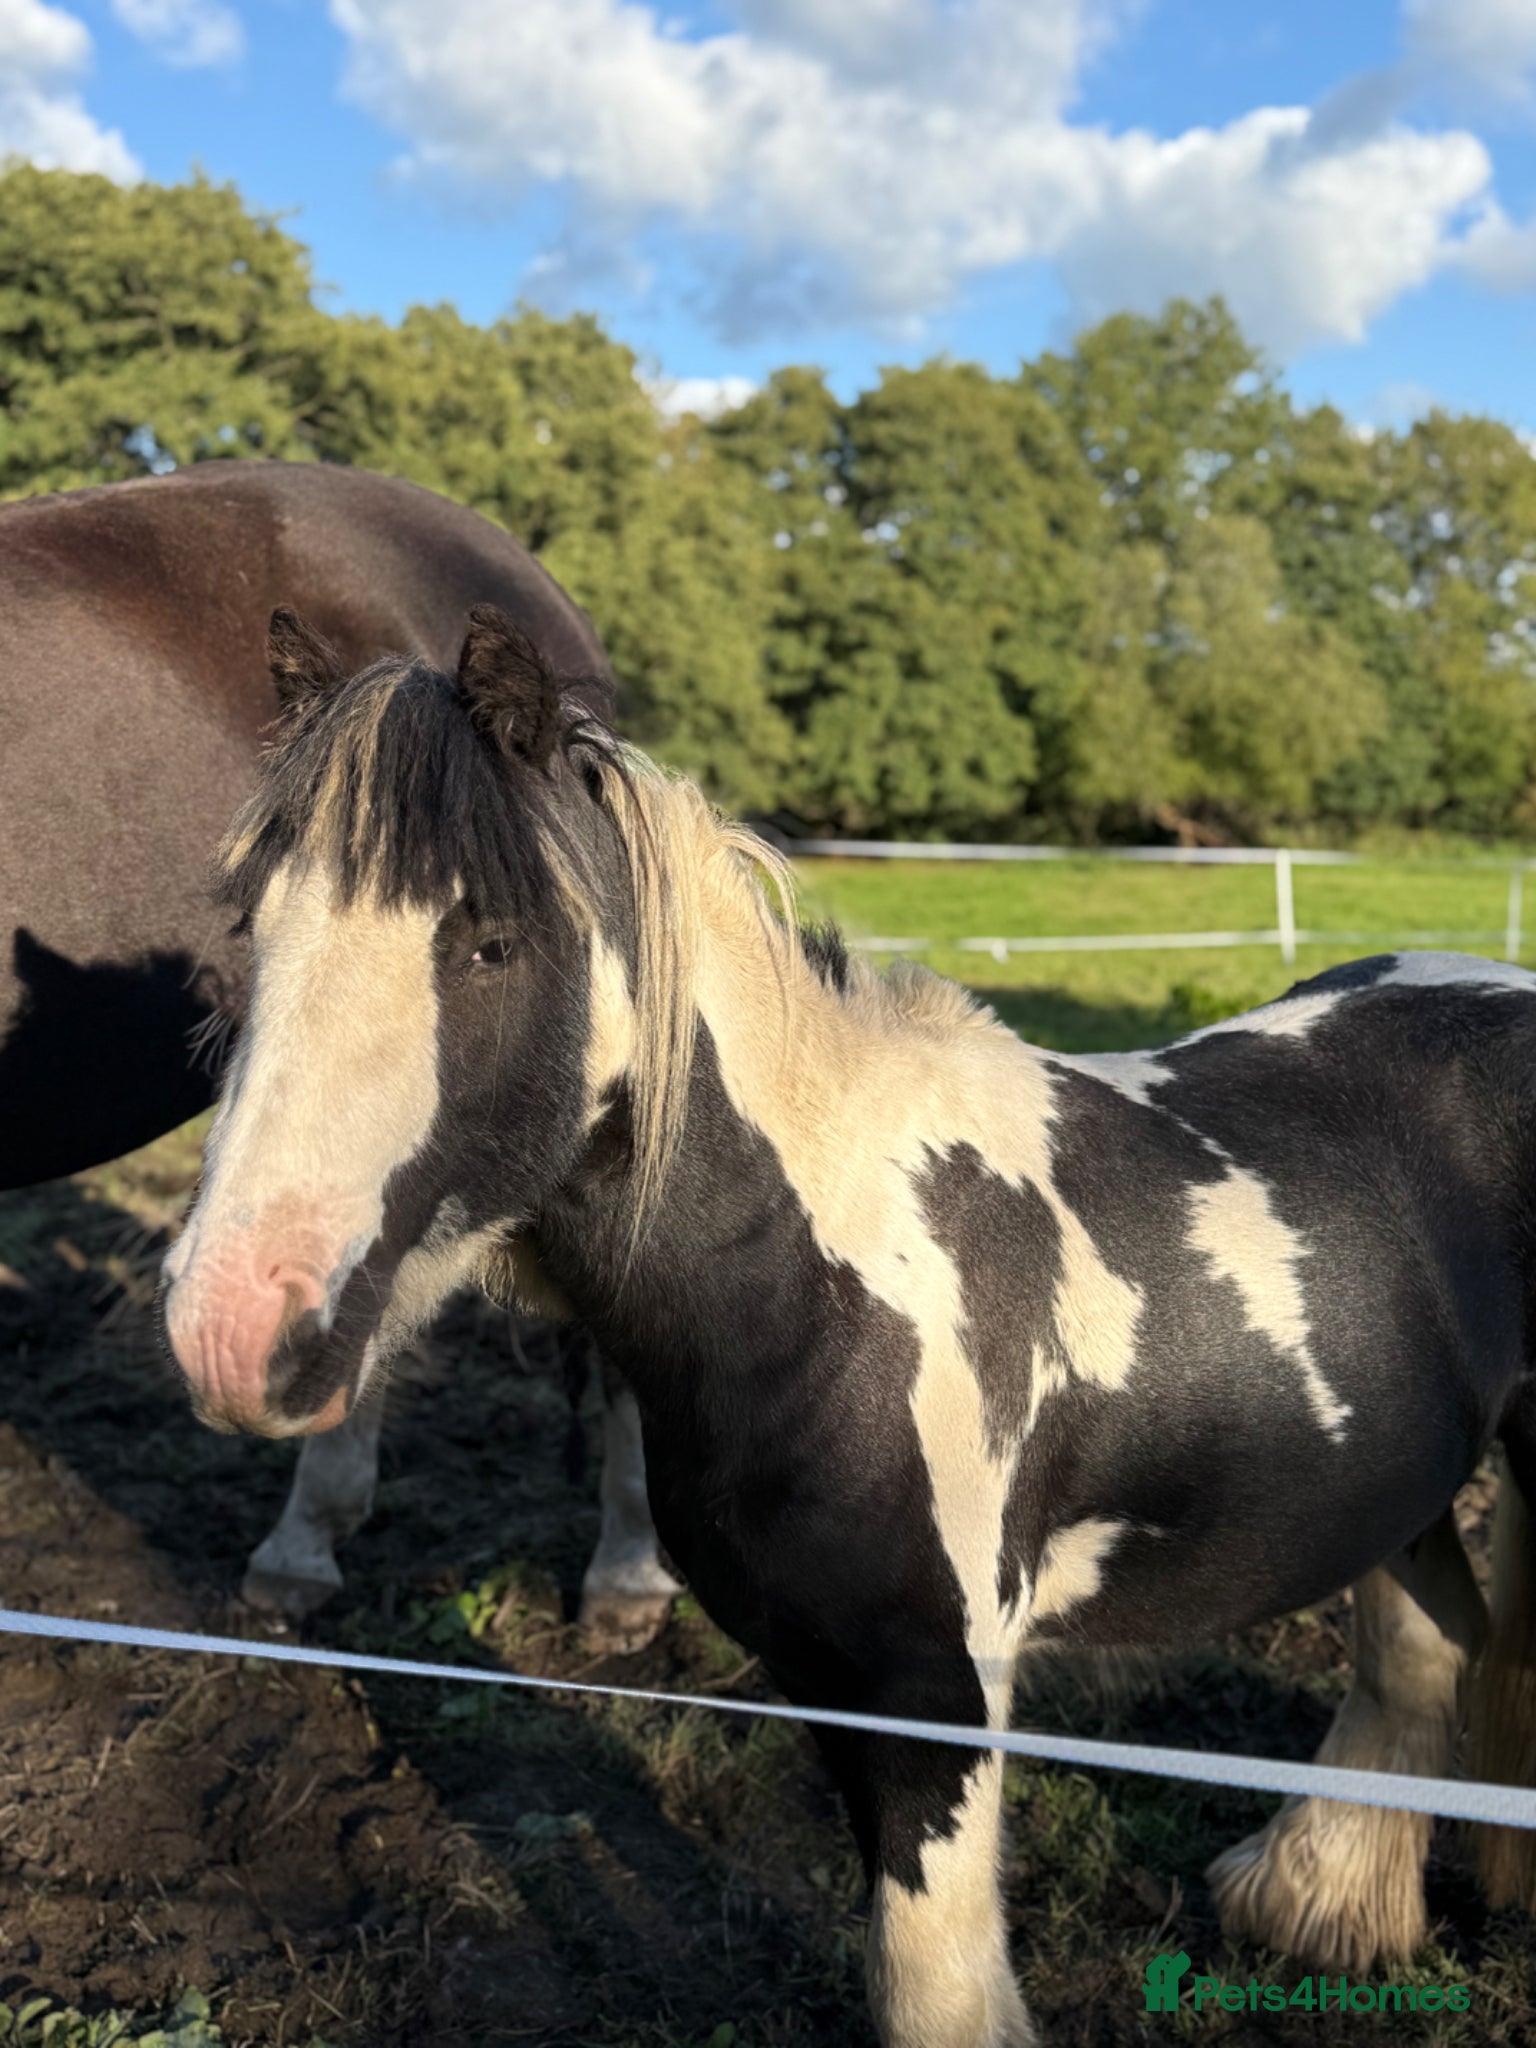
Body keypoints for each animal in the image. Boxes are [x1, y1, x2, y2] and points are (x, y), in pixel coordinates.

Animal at [160, 606, 1536, 2048]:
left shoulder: (937, 1697)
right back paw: (1315, 1905)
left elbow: (935, 1989)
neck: (835, 1289)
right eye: (253, 924)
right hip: (1394, 1475)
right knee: (1424, 1646)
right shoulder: (827, 1673)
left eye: (490, 941)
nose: (230, 1328)